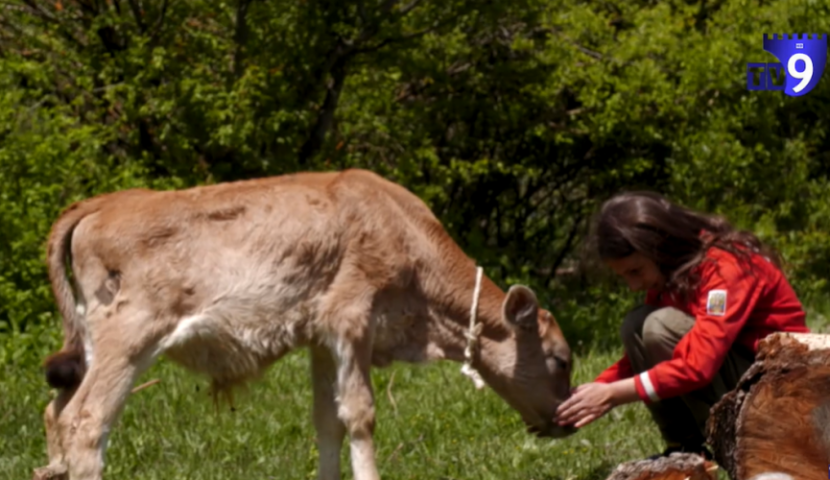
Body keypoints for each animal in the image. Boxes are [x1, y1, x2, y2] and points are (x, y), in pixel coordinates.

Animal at [34, 169, 580, 480]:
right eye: (560, 358)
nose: (566, 420)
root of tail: (103, 203)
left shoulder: (321, 337)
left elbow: (327, 421)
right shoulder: (353, 321)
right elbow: (360, 415)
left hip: (90, 345)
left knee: (55, 410)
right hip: (128, 338)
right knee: (86, 422)